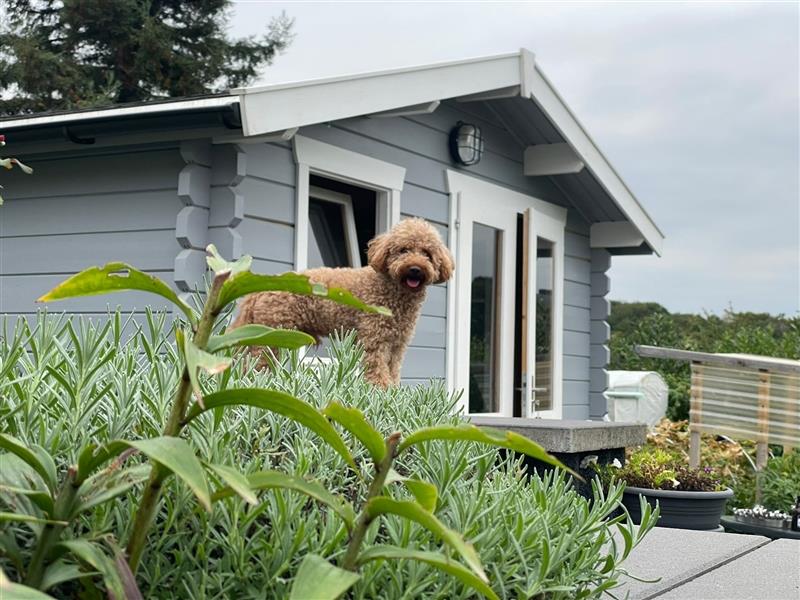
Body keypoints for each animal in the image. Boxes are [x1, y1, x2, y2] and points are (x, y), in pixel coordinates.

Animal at [234, 218, 454, 386]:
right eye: (403, 250)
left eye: (427, 253)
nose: (415, 269)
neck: (393, 291)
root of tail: (259, 290)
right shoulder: (374, 339)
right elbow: (377, 370)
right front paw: (381, 390)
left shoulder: (397, 345)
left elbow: (392, 371)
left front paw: (393, 390)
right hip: (271, 335)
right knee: (255, 365)